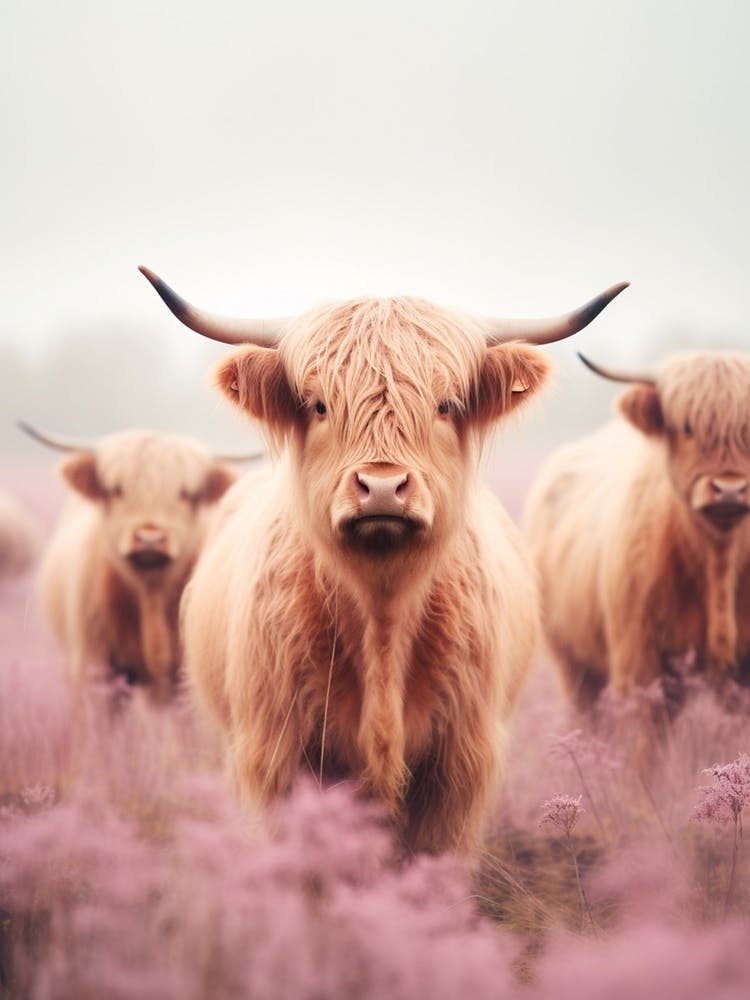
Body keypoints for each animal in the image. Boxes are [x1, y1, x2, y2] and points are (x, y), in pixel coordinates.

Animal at [141, 266, 626, 853]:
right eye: (319, 405)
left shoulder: (459, 763)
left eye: (445, 404)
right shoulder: (274, 752)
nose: (381, 488)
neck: (382, 616)